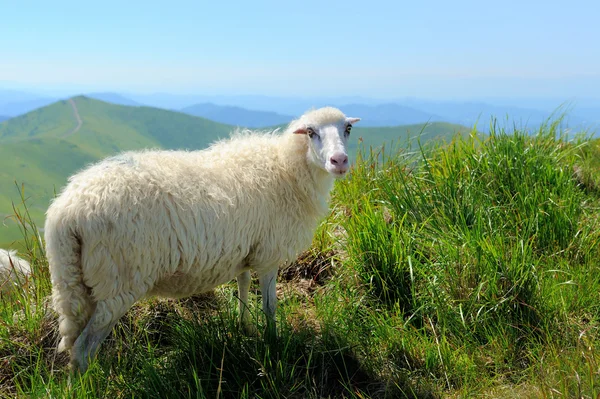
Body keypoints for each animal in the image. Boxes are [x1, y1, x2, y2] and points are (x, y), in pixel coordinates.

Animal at [45, 105, 360, 372]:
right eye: (311, 132)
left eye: (347, 129)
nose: (340, 161)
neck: (287, 168)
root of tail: (67, 212)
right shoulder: (269, 255)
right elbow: (270, 306)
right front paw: (274, 343)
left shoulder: (246, 250)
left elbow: (243, 286)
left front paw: (246, 327)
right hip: (118, 280)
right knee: (83, 349)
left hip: (76, 280)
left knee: (75, 341)